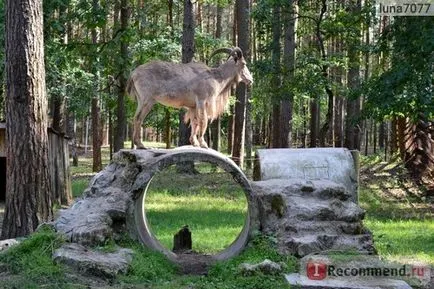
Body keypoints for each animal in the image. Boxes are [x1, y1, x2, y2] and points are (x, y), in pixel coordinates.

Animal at [125, 46, 253, 148]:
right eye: (244, 64)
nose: (251, 80)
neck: (215, 77)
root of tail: (133, 73)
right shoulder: (202, 101)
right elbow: (203, 121)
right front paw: (203, 144)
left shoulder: (193, 106)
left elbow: (194, 122)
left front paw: (194, 142)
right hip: (147, 101)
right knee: (138, 118)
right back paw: (140, 145)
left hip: (141, 100)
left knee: (136, 118)